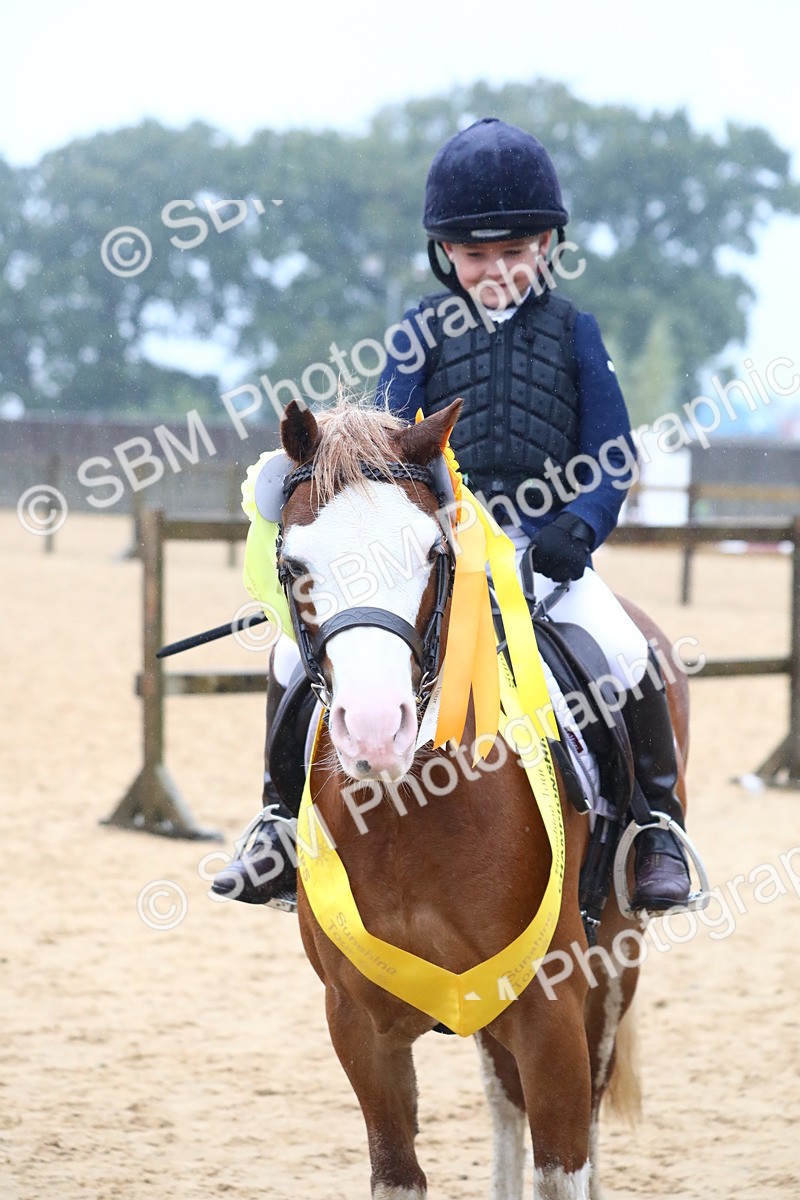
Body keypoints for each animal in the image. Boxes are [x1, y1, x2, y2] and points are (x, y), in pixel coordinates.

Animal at [274, 395, 690, 1200]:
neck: (409, 818)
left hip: (617, 959)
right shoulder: (358, 1026)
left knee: (590, 1096)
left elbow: (564, 1160)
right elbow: (399, 1168)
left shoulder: (552, 1009)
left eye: (433, 555)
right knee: (504, 1099)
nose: (374, 732)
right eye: (293, 566)